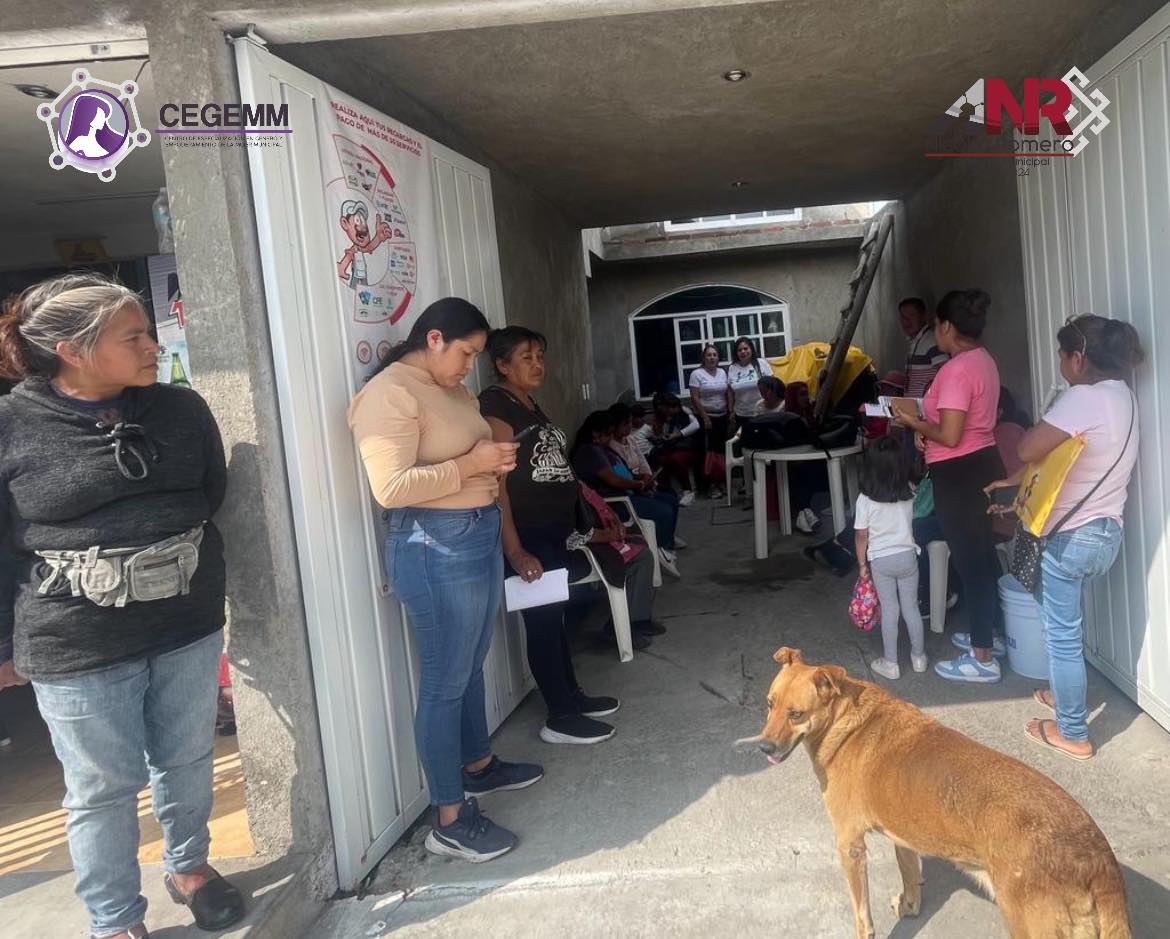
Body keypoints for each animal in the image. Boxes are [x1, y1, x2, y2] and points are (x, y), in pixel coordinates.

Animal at [744, 645, 1127, 939]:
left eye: (796, 714)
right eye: (769, 704)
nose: (763, 748)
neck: (845, 720)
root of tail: (1099, 858)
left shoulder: (850, 846)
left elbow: (862, 914)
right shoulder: (902, 834)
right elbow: (910, 874)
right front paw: (909, 906)